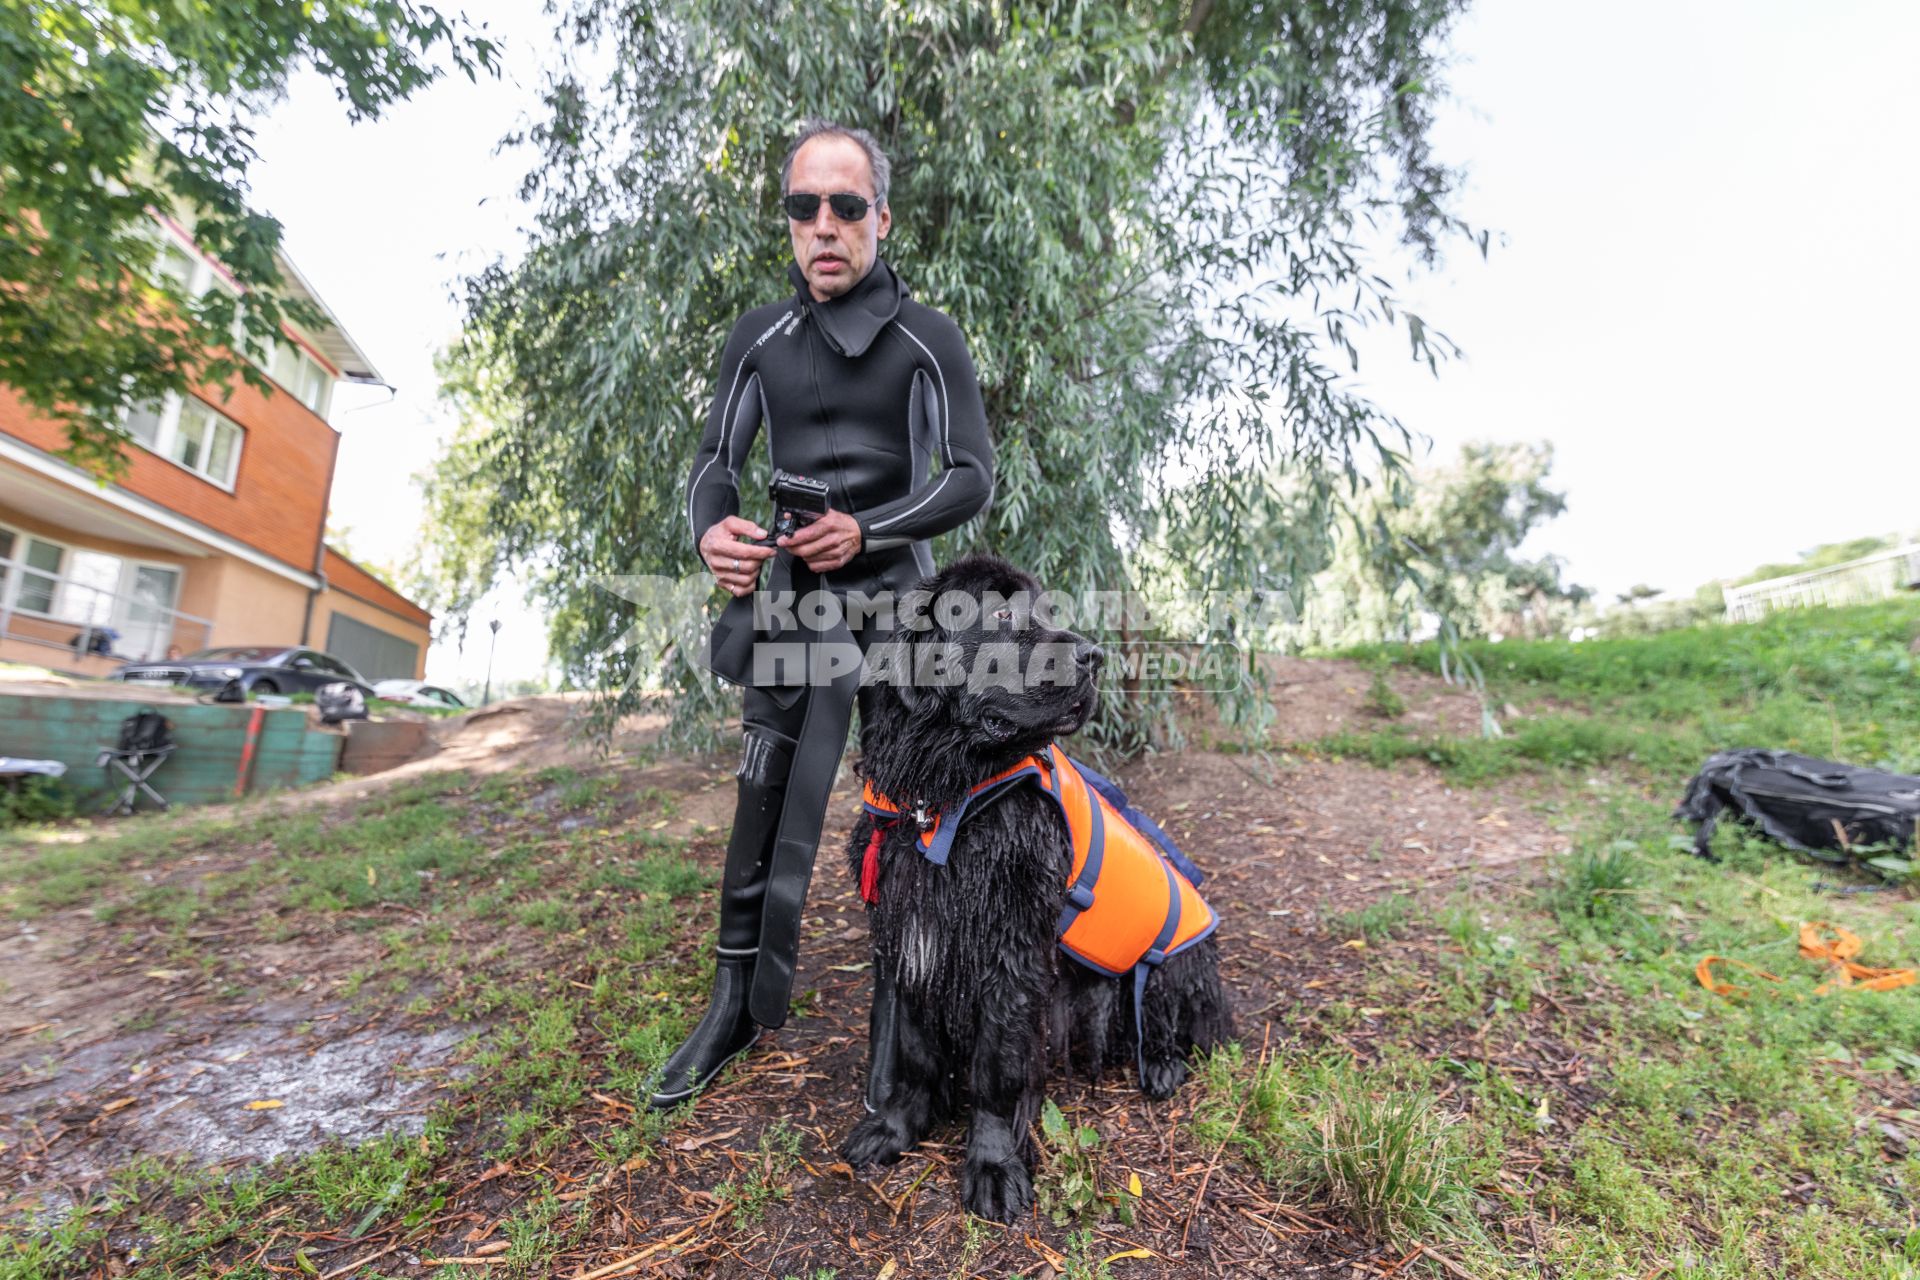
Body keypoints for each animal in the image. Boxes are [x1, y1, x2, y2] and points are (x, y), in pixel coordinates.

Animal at [837, 556, 1228, 1228]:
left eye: (1047, 613)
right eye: (999, 614)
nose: (1095, 655)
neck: (945, 795)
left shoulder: (1011, 950)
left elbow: (999, 1068)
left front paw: (994, 1168)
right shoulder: (910, 935)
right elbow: (912, 1051)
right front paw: (894, 1129)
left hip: (1176, 962)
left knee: (1168, 1014)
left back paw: (1161, 1066)